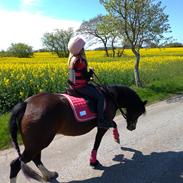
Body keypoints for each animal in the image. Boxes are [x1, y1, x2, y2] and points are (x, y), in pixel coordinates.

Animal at [8, 85, 147, 182]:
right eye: (138, 112)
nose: (132, 127)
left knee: (36, 158)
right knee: (16, 164)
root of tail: (26, 104)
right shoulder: (102, 126)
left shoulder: (105, 123)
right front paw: (94, 161)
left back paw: (49, 174)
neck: (110, 96)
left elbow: (113, 125)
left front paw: (117, 141)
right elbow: (98, 141)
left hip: (39, 141)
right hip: (39, 141)